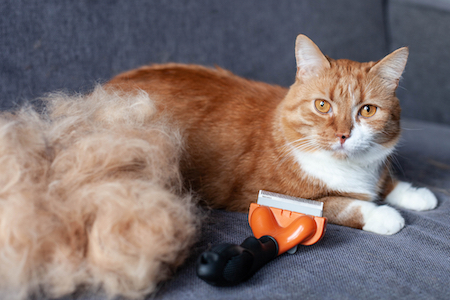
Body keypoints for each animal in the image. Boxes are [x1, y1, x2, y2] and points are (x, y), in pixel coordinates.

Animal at [107, 35, 438, 236]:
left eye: (367, 110)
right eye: (322, 105)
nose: (343, 135)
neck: (350, 168)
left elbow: (385, 182)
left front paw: (415, 194)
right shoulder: (264, 194)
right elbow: (341, 203)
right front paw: (384, 215)